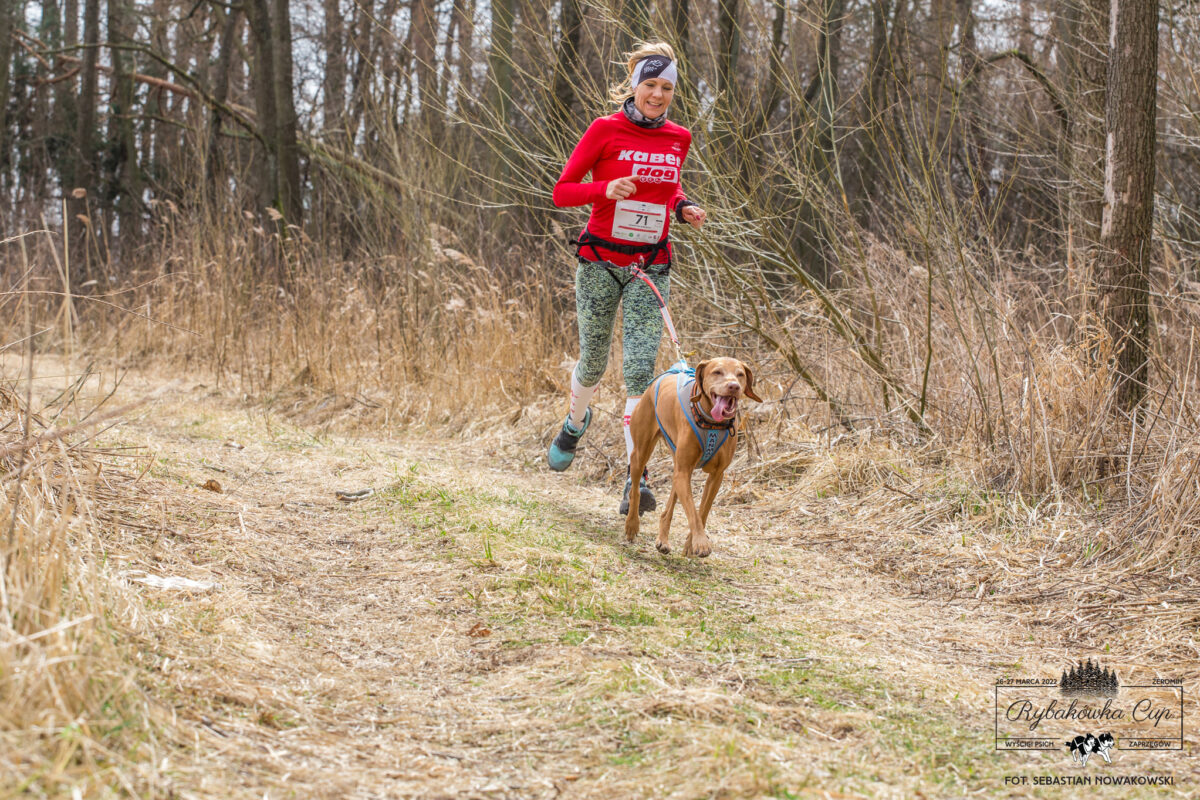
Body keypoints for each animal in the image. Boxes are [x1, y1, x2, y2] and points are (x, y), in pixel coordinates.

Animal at [628, 357, 758, 556]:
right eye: (717, 372)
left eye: (740, 374)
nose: (734, 386)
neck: (711, 424)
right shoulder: (684, 472)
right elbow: (693, 512)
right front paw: (701, 543)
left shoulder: (716, 476)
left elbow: (702, 512)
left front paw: (691, 543)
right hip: (640, 453)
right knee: (635, 489)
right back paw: (632, 525)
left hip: (677, 467)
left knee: (668, 508)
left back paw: (663, 539)